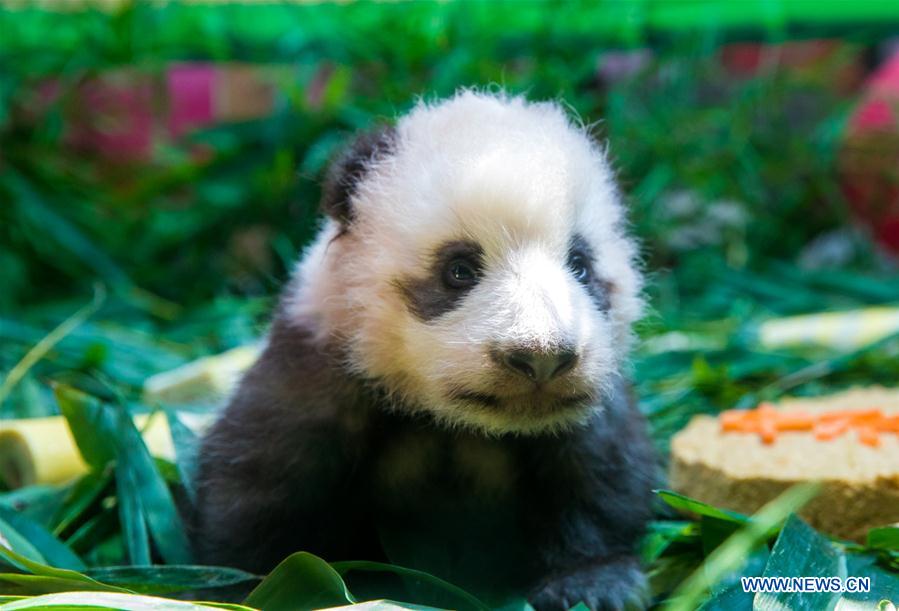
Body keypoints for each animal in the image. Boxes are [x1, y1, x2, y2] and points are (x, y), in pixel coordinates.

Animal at [194, 90, 657, 611]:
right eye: (459, 269)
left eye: (579, 264)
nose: (541, 357)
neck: (456, 421)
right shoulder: (319, 363)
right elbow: (260, 478)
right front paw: (258, 585)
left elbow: (601, 467)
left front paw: (595, 582)